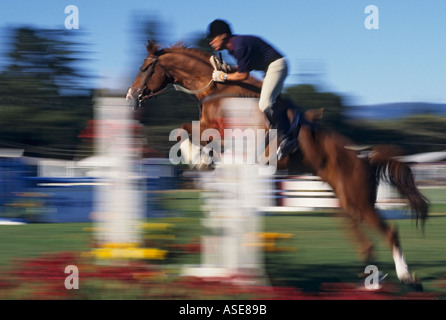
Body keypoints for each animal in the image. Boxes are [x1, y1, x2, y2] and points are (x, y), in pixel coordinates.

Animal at [125, 40, 428, 288]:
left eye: (144, 68)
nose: (130, 97)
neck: (216, 89)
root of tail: (364, 157)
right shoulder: (211, 128)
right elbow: (184, 129)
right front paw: (199, 159)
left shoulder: (232, 133)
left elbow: (190, 132)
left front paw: (198, 159)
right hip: (345, 203)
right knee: (362, 238)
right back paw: (370, 280)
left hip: (358, 200)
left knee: (389, 232)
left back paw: (407, 277)